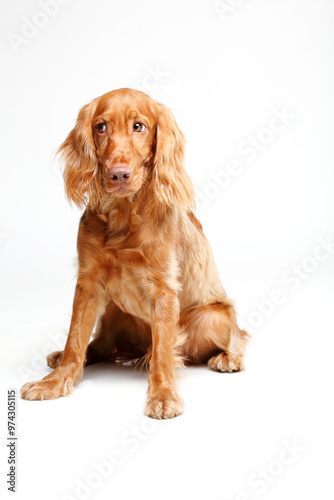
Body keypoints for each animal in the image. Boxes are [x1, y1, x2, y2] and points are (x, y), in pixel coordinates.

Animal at [18, 87, 248, 418]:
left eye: (139, 126)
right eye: (101, 127)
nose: (118, 174)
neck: (124, 215)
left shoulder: (164, 289)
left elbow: (163, 351)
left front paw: (163, 395)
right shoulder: (88, 282)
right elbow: (75, 338)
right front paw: (57, 381)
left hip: (211, 316)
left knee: (236, 339)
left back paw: (229, 359)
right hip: (115, 312)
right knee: (100, 345)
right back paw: (65, 358)